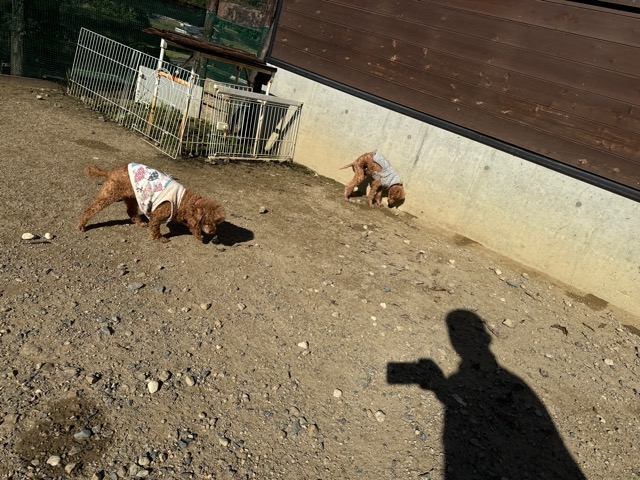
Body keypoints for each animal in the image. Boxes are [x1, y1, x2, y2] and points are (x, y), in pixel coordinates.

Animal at [77, 163, 226, 243]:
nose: (213, 232)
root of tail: (110, 171)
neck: (183, 200)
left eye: (216, 223)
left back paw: (140, 223)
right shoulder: (158, 213)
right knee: (91, 208)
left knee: (131, 211)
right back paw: (81, 225)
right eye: (208, 222)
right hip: (110, 194)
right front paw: (160, 239)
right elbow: (155, 227)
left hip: (131, 196)